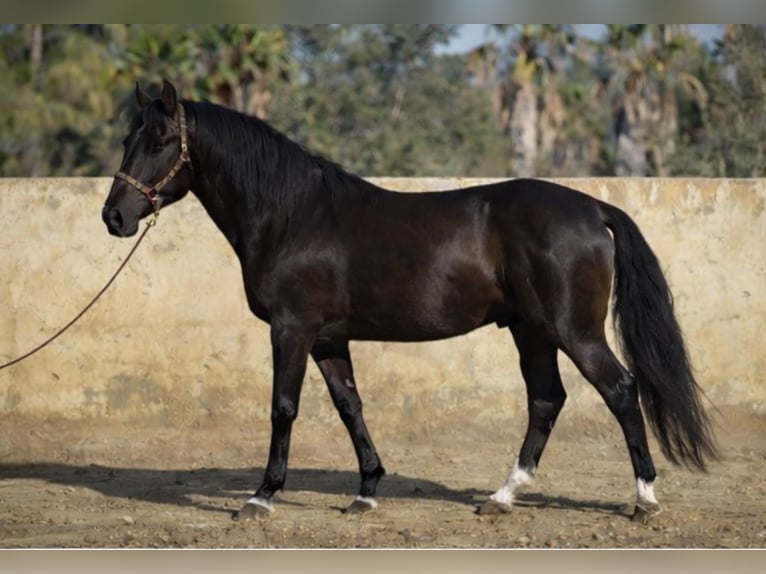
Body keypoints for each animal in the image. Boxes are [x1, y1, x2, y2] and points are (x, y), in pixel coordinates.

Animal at [102, 79, 717, 523]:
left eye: (159, 143)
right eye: (128, 142)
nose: (115, 217)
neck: (293, 216)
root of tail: (592, 208)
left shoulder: (292, 330)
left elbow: (284, 408)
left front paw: (261, 497)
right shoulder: (329, 338)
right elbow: (351, 408)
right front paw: (366, 491)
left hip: (572, 330)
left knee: (619, 391)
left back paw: (643, 500)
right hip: (532, 331)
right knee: (546, 401)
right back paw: (502, 496)